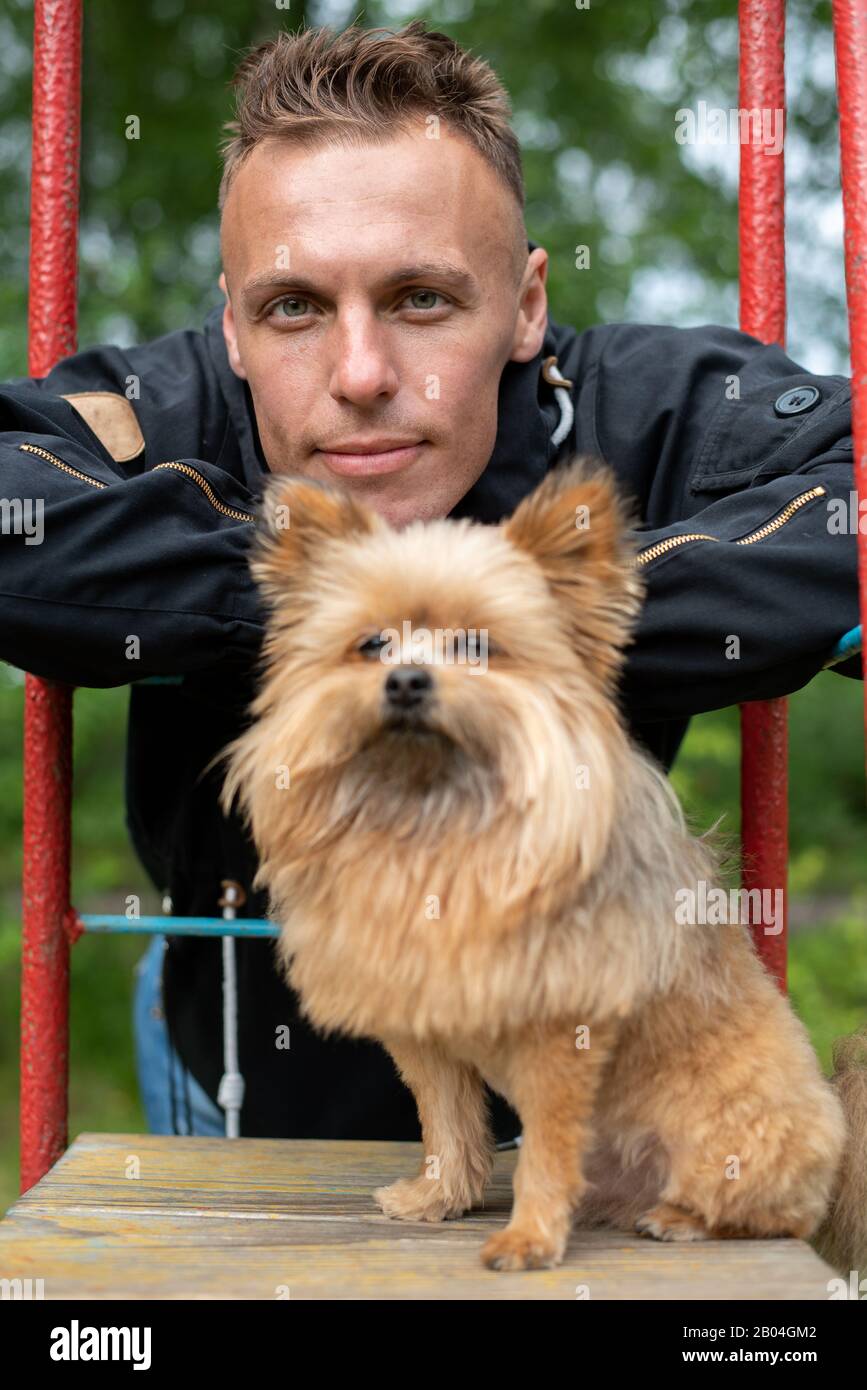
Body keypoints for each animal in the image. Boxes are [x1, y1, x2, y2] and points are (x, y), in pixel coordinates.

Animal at [222, 453, 867, 1273]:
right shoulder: (424, 1023)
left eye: (476, 647)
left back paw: (679, 1217)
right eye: (371, 645)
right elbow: (446, 1118)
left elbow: (548, 1148)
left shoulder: (561, 1033)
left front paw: (528, 1239)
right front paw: (439, 1197)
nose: (405, 680)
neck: (436, 811)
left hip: (734, 1133)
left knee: (768, 1209)